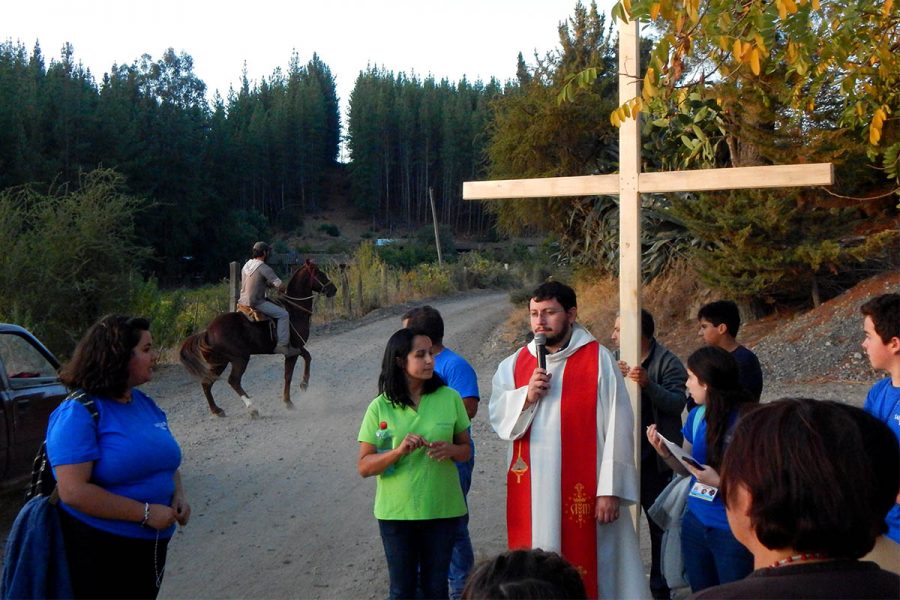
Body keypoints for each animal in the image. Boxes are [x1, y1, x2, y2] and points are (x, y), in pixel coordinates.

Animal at [179, 258, 338, 418]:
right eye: (319, 272)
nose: (333, 289)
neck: (294, 310)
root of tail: (207, 332)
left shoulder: (297, 348)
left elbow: (307, 357)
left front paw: (303, 385)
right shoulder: (292, 351)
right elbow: (289, 375)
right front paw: (289, 400)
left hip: (219, 363)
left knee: (207, 382)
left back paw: (216, 410)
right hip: (240, 359)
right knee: (233, 381)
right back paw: (252, 408)